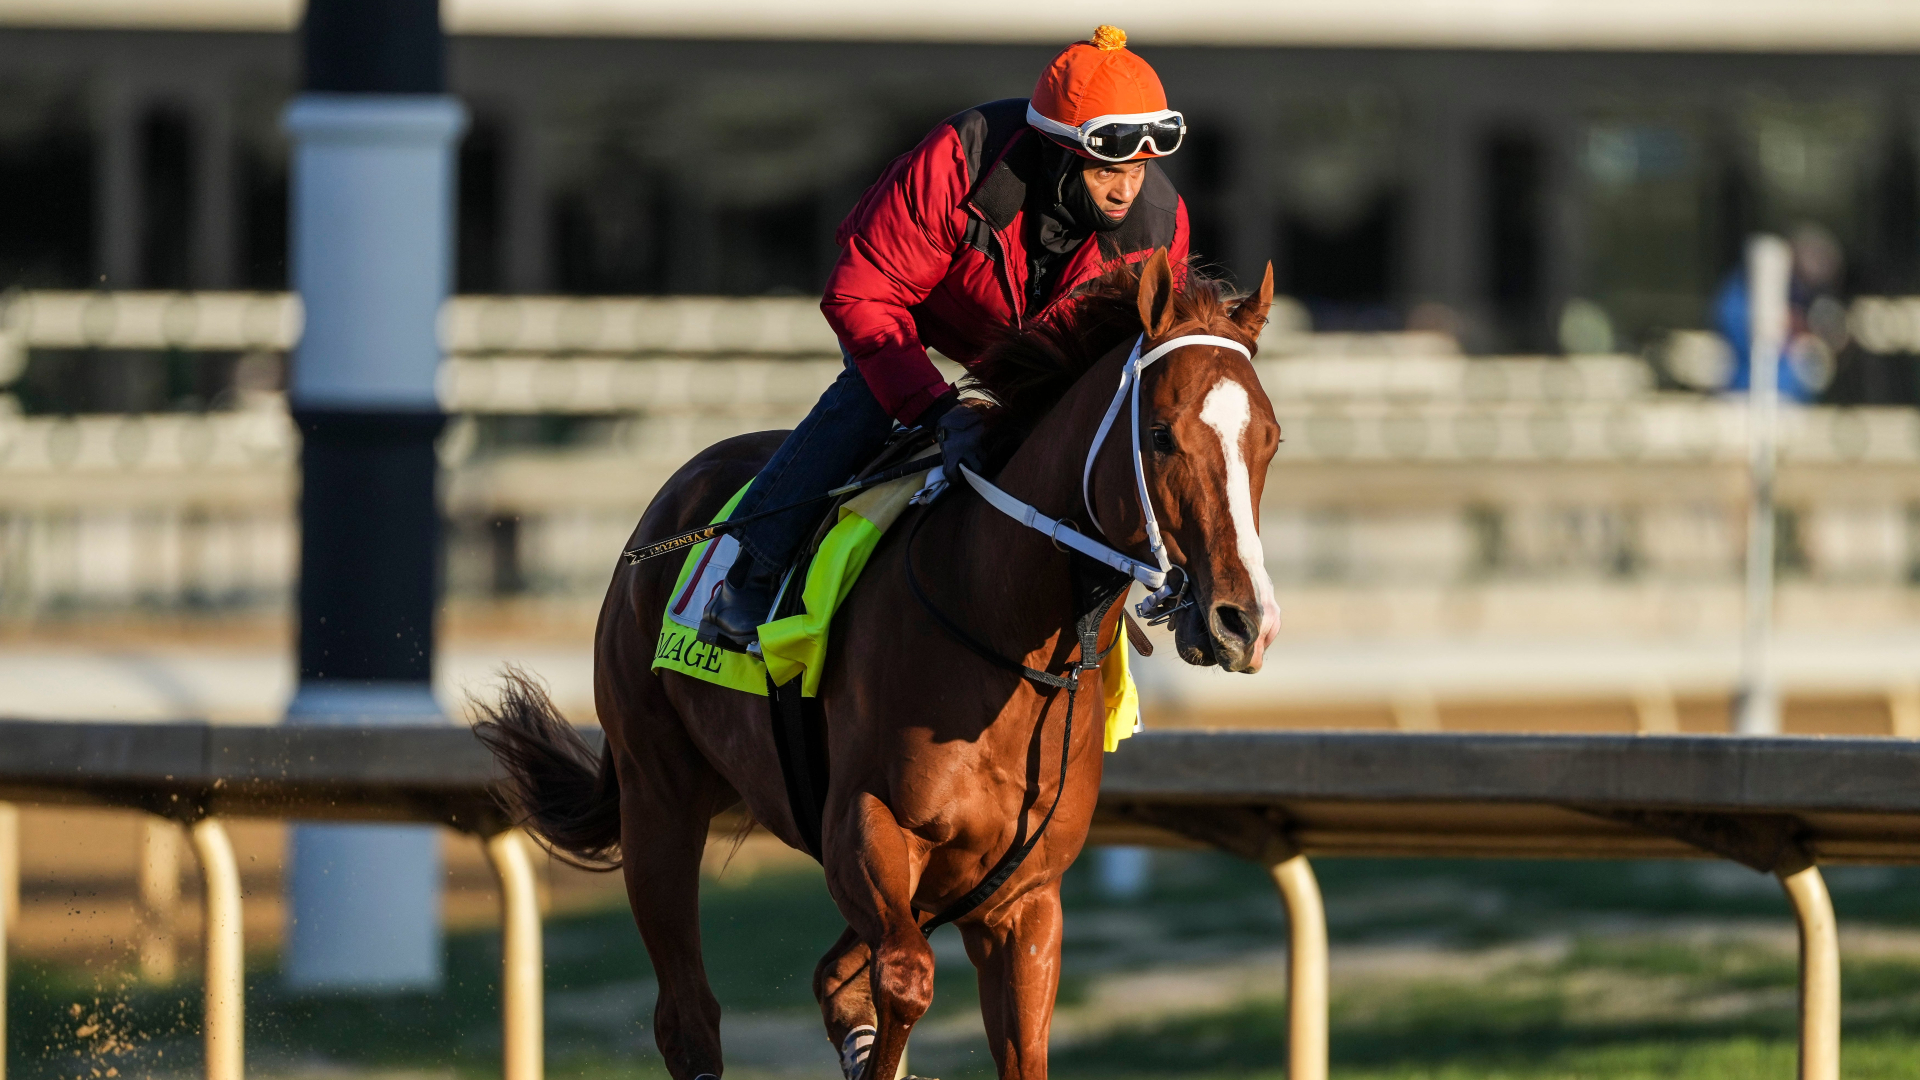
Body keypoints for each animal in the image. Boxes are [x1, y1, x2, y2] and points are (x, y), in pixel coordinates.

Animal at [474, 249, 1282, 1076]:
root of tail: (671, 495)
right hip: (656, 792)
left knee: (829, 974)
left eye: (1270, 440)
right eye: (1159, 434)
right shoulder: (864, 826)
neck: (1000, 625)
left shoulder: (1022, 896)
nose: (1242, 621)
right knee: (689, 1014)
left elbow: (999, 1037)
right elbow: (905, 975)